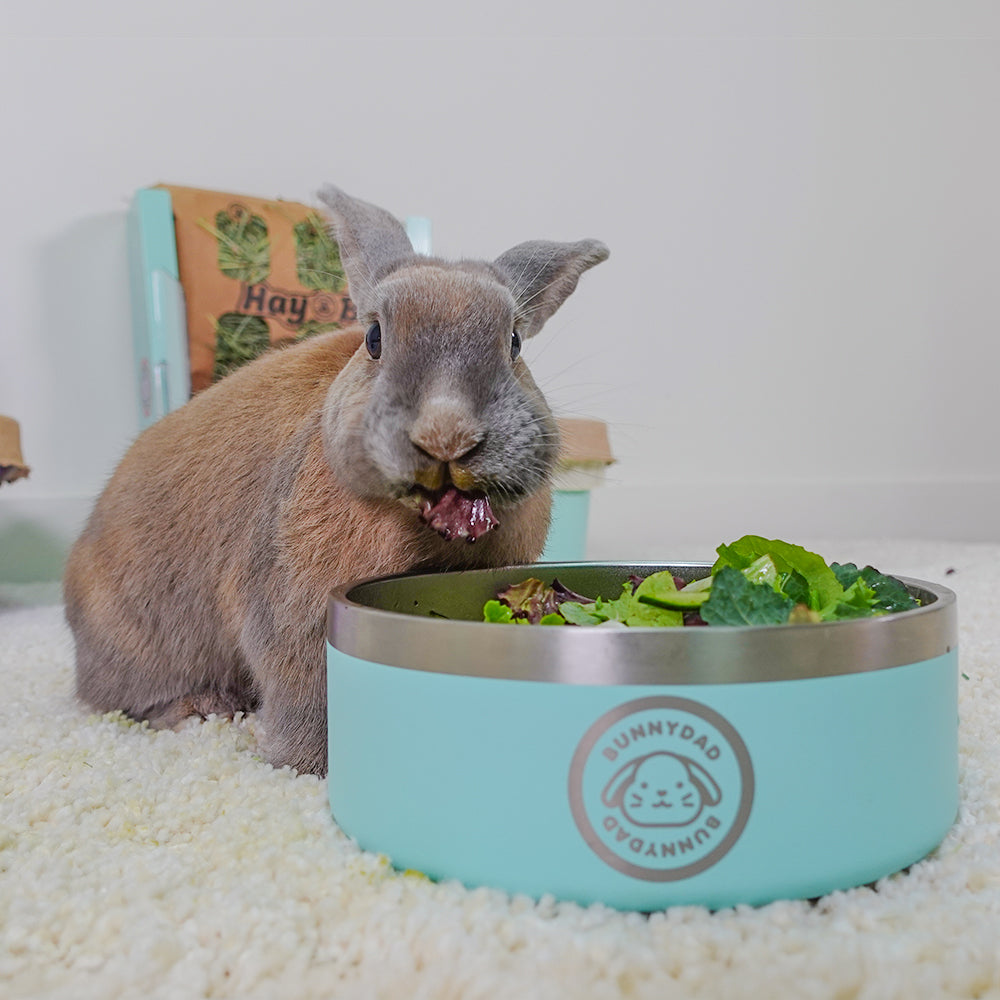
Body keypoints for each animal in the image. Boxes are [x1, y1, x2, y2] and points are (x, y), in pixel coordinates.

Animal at [64, 184, 609, 776]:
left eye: (514, 343)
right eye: (374, 338)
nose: (446, 436)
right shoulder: (293, 618)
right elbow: (305, 695)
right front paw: (300, 767)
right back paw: (201, 709)